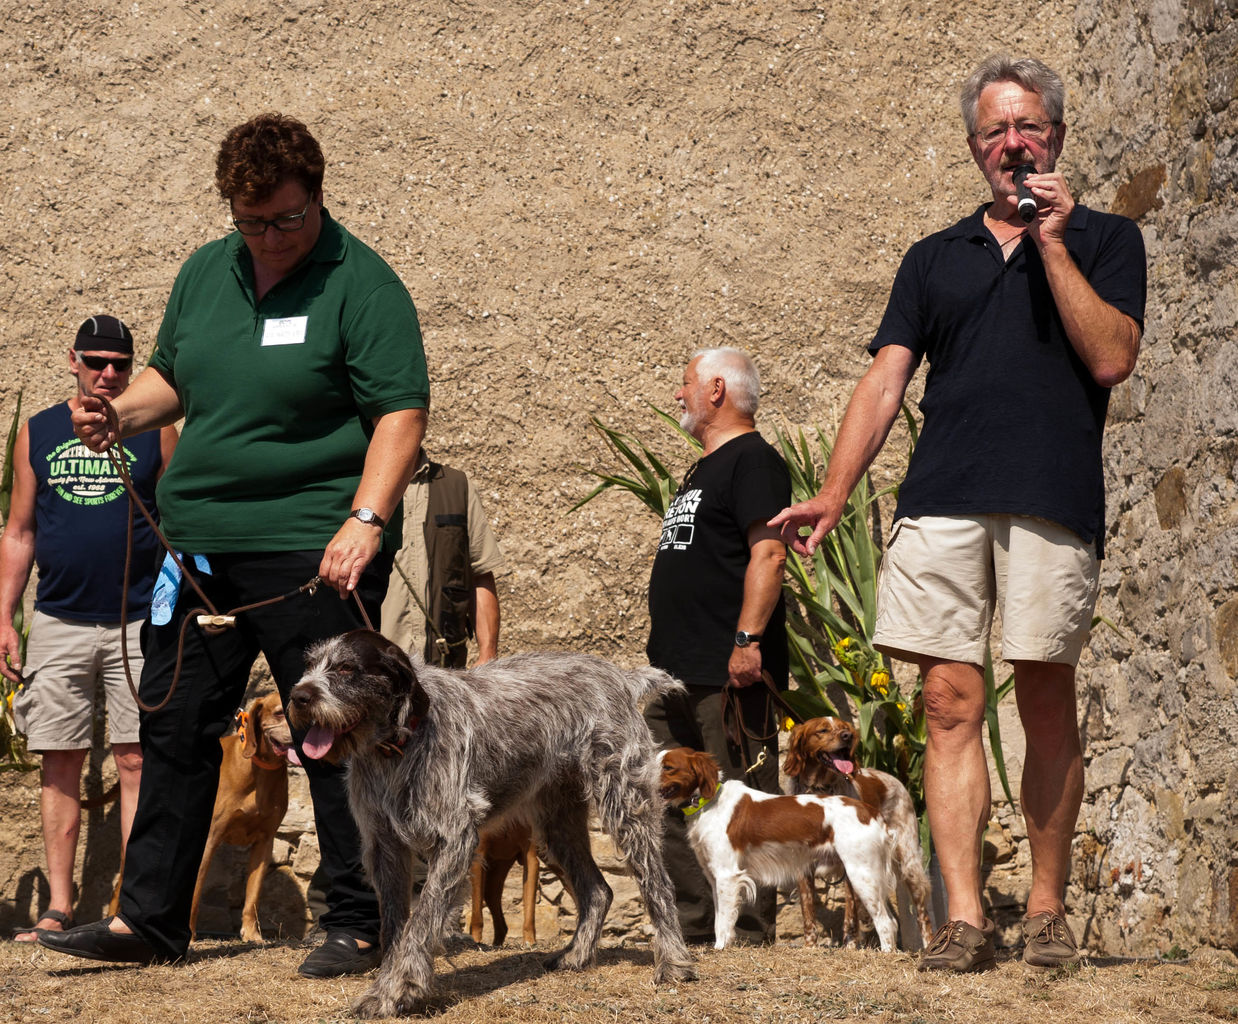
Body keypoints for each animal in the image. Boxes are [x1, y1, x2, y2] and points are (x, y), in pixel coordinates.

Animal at [188, 693, 294, 941]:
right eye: (279, 712)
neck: (260, 772)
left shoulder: (265, 842)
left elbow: (252, 895)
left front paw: (252, 933)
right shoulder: (209, 839)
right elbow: (195, 891)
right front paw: (188, 933)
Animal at [287, 629, 698, 1020]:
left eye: (346, 668)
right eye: (308, 664)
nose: (298, 696)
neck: (396, 746)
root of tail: (621, 678)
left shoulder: (455, 840)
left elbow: (421, 921)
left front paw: (394, 990)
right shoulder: (385, 847)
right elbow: (395, 928)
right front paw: (391, 981)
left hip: (625, 806)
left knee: (658, 885)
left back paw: (674, 963)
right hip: (556, 824)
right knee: (598, 890)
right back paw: (576, 956)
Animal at [658, 742, 901, 950]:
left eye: (668, 767)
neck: (707, 802)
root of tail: (870, 812)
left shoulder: (727, 876)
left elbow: (725, 920)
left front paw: (720, 949)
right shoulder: (714, 876)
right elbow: (719, 920)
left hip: (862, 874)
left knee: (885, 922)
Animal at [782, 718, 930, 950]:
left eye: (845, 728)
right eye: (822, 730)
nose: (847, 736)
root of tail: (893, 778)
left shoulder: (849, 867)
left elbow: (850, 916)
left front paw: (850, 947)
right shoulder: (803, 866)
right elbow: (808, 912)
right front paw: (810, 947)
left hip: (907, 861)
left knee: (922, 914)